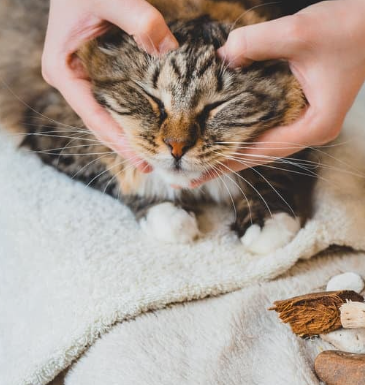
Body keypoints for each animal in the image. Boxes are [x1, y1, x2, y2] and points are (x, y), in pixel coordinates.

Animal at [0, 0, 312, 254]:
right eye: (152, 98)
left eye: (216, 105)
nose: (177, 147)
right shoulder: (53, 126)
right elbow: (119, 174)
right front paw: (171, 216)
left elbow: (275, 171)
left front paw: (269, 221)